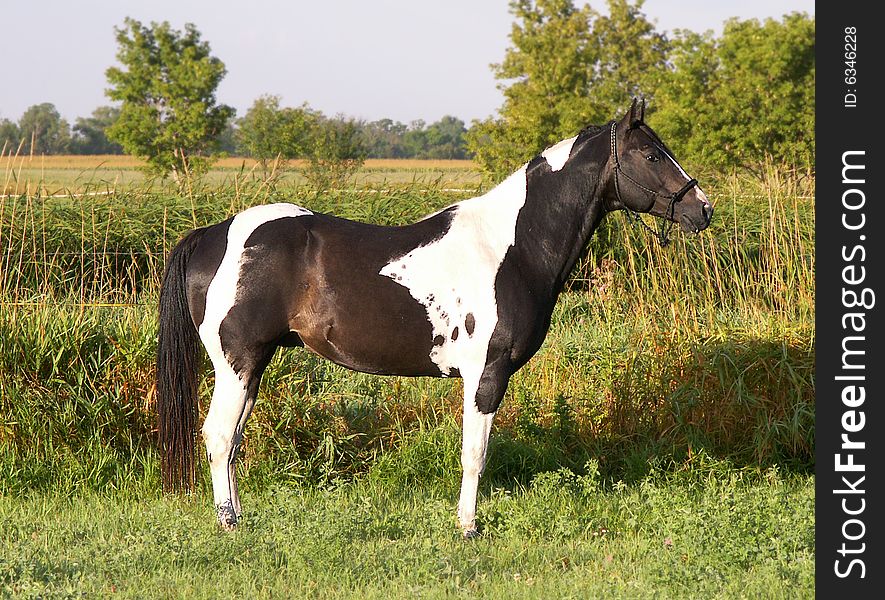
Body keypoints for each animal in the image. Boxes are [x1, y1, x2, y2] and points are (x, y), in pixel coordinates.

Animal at [157, 99, 712, 540]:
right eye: (651, 154)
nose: (702, 209)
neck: (512, 247)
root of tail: (214, 234)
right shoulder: (485, 374)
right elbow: (475, 454)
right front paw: (468, 527)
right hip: (238, 361)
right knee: (218, 436)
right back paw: (229, 523)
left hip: (254, 364)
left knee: (231, 441)